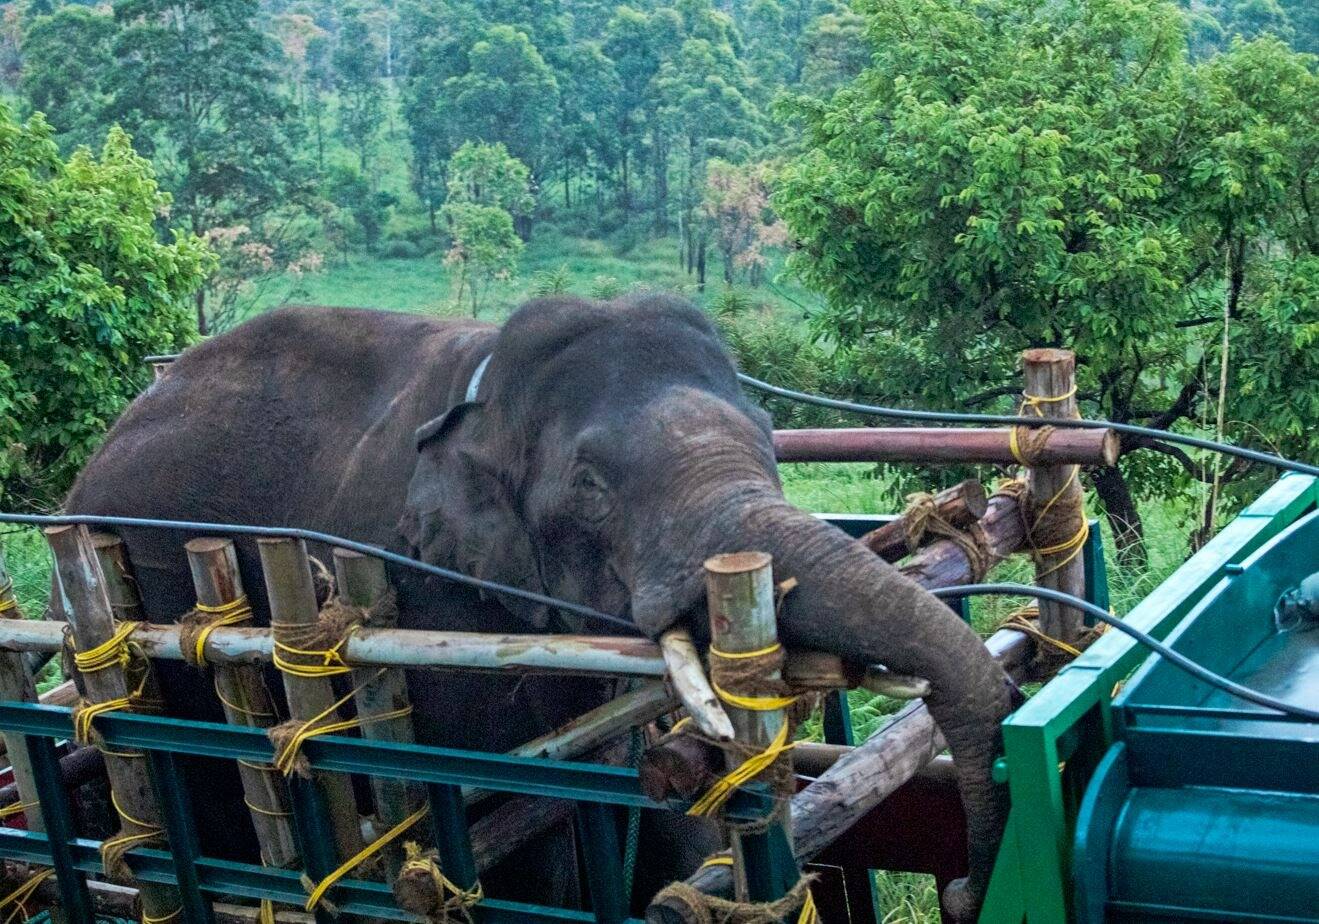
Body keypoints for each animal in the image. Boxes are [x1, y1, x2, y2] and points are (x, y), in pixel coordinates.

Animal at [64, 296, 1011, 921]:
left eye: (771, 443)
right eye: (590, 488)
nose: (965, 892)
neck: (486, 390)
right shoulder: (427, 591)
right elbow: (514, 826)